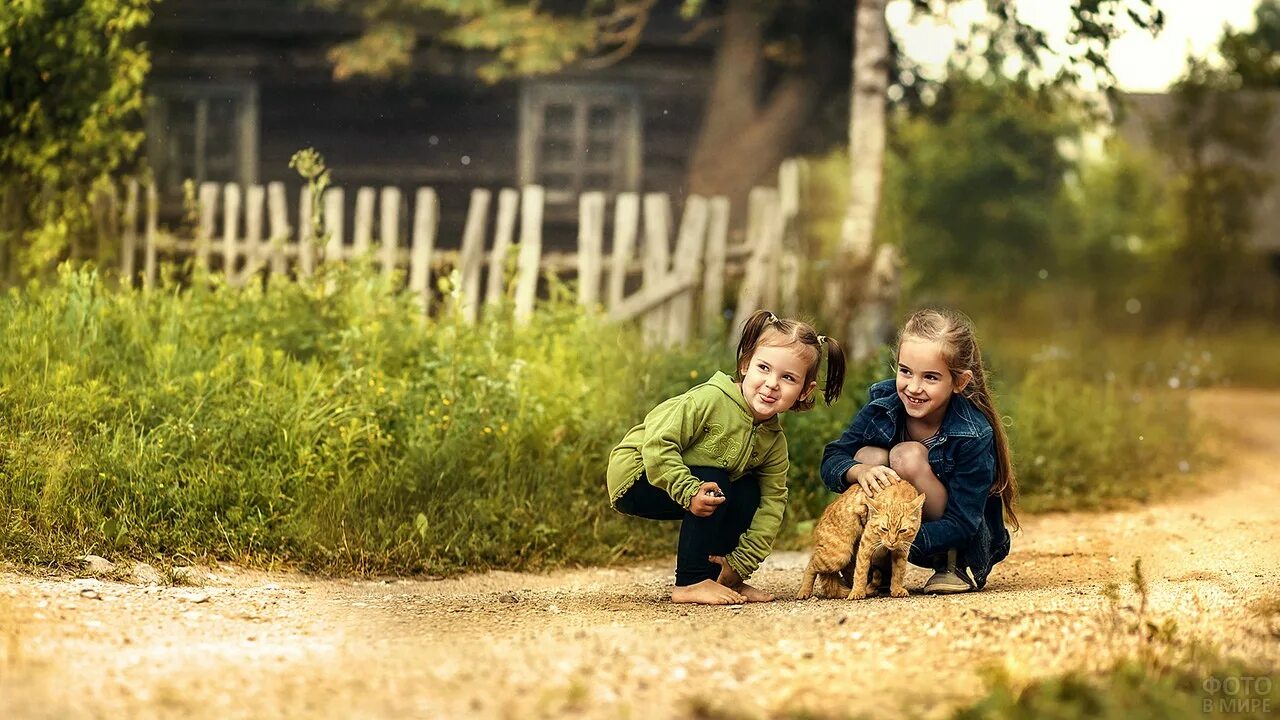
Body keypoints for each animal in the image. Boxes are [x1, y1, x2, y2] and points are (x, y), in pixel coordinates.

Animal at [793, 474, 926, 597]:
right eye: (884, 529)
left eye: (902, 530)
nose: (892, 541)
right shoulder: (866, 544)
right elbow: (861, 571)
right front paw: (857, 591)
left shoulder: (902, 550)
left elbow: (899, 571)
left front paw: (897, 589)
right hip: (839, 555)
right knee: (811, 564)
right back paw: (804, 590)